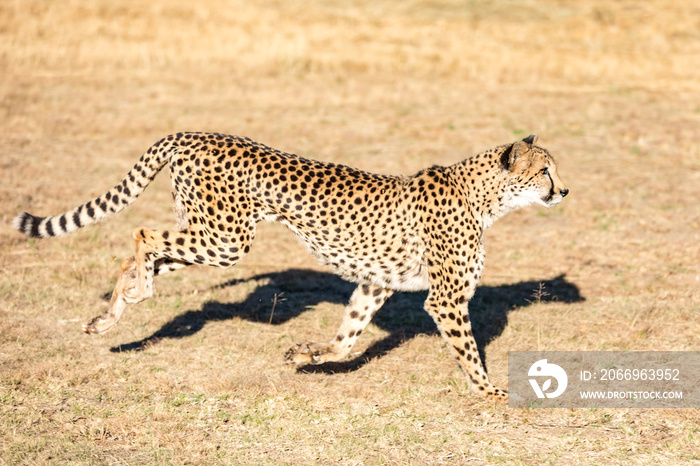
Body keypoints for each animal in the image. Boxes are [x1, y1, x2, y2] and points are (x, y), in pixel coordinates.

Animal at [13, 132, 568, 400]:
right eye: (544, 170)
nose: (564, 191)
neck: (485, 197)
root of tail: (195, 133)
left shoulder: (375, 282)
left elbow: (348, 337)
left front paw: (307, 354)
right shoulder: (446, 299)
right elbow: (470, 351)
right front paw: (491, 391)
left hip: (210, 233)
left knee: (146, 254)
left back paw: (110, 313)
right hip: (226, 237)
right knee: (143, 235)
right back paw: (135, 293)